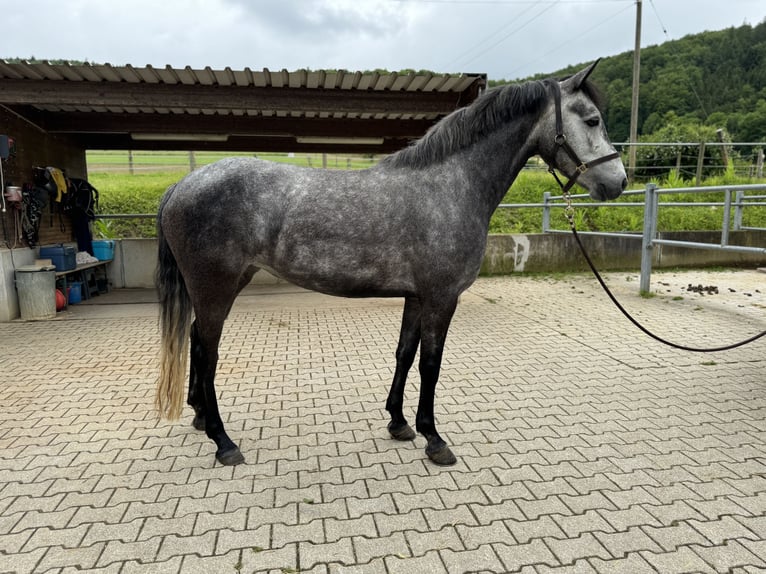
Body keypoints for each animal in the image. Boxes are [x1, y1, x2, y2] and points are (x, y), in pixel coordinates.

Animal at [158, 63, 632, 468]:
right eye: (592, 120)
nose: (619, 183)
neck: (451, 185)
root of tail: (182, 184)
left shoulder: (416, 296)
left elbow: (405, 353)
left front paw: (399, 423)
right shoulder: (442, 297)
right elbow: (431, 364)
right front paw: (434, 439)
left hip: (225, 284)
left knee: (196, 340)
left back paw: (199, 416)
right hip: (215, 288)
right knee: (206, 351)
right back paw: (223, 442)